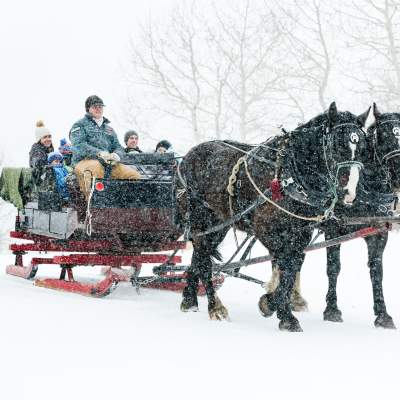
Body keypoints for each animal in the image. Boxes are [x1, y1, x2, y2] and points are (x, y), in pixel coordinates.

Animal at [177, 102, 370, 332]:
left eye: (363, 148)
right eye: (337, 145)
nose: (348, 193)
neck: (287, 176)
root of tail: (188, 157)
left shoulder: (300, 234)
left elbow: (291, 267)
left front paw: (278, 306)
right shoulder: (267, 231)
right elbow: (284, 265)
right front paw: (278, 307)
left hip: (218, 225)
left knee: (198, 256)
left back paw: (189, 300)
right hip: (201, 220)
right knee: (204, 260)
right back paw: (215, 307)